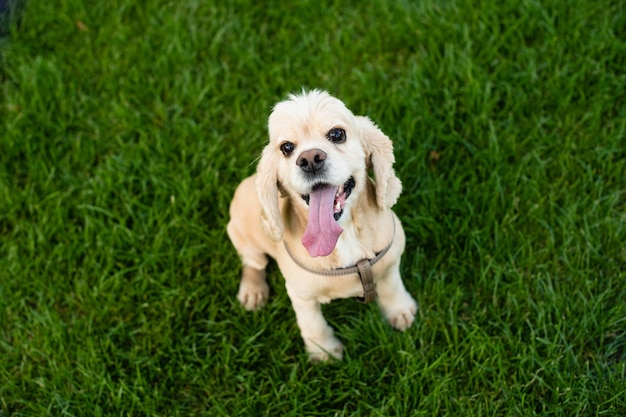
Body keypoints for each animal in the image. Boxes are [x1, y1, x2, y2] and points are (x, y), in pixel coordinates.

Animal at [227, 88, 416, 360]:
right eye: (286, 147)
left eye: (337, 134)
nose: (309, 159)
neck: (345, 234)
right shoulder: (301, 295)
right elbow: (312, 324)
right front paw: (324, 351)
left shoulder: (391, 259)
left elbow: (392, 285)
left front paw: (400, 311)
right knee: (253, 262)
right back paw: (253, 291)